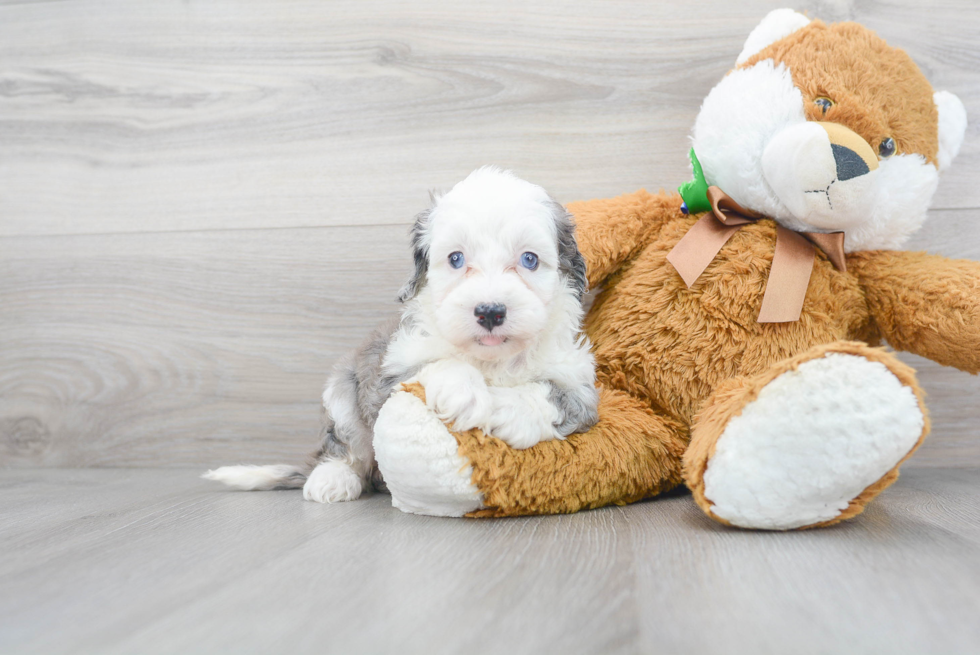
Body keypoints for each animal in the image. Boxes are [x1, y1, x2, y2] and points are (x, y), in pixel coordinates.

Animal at [204, 168, 600, 502]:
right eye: (455, 259)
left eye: (529, 259)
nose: (490, 311)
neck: (491, 360)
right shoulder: (391, 373)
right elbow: (437, 365)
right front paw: (464, 393)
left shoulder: (580, 385)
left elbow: (552, 395)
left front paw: (506, 409)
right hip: (341, 392)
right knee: (344, 449)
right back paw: (332, 479)